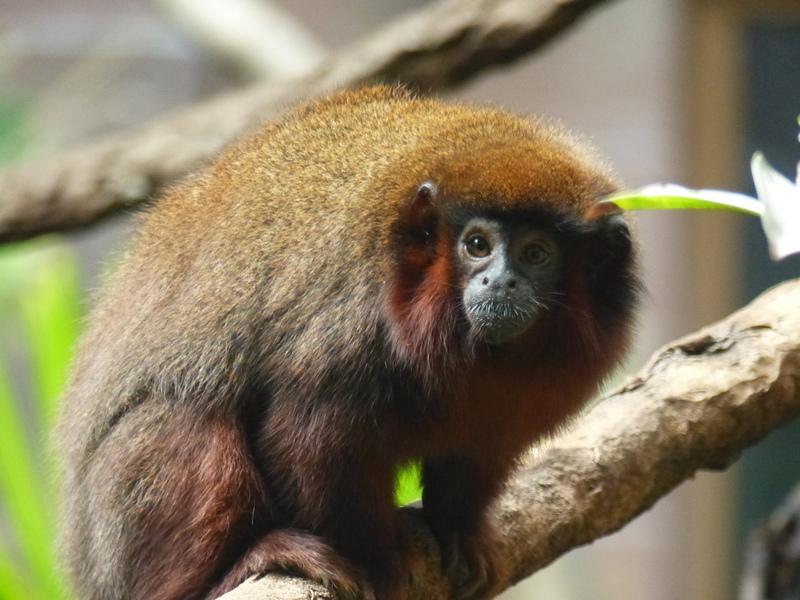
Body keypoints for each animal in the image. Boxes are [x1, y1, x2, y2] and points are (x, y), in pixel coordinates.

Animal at [57, 84, 636, 600]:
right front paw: (378, 559)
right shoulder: (355, 324)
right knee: (178, 415)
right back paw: (236, 564)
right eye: (477, 245)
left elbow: (484, 448)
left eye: (536, 254)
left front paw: (458, 527)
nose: (500, 282)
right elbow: (310, 439)